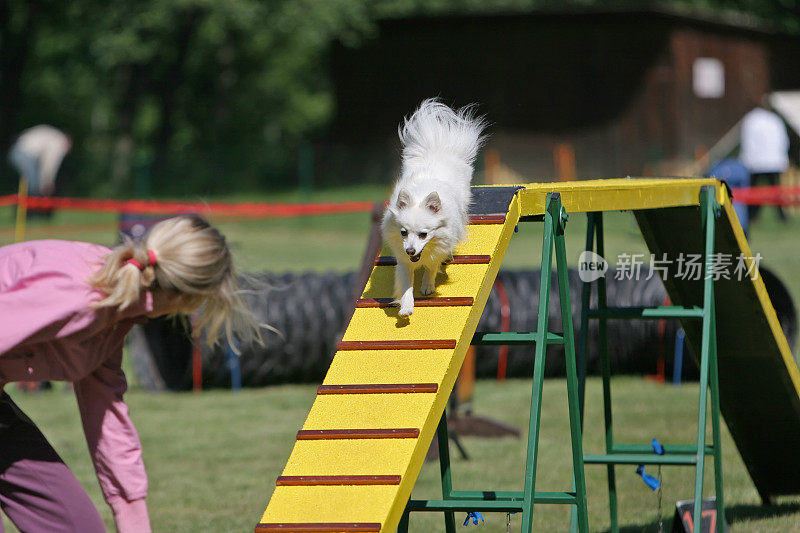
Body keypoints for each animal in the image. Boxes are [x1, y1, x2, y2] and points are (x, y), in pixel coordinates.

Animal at [382, 98, 488, 316]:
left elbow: (431, 265)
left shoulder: (437, 248)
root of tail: (438, 149)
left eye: (423, 234)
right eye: (403, 232)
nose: (410, 250)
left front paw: (428, 285)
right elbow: (406, 283)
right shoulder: (403, 260)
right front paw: (406, 306)